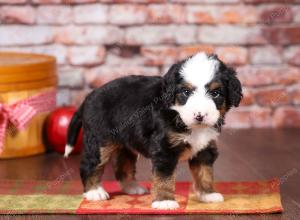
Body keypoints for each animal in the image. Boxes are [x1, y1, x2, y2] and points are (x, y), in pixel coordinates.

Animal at [64, 51, 243, 210]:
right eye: (186, 92)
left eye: (216, 93)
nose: (199, 115)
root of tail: (89, 97)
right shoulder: (164, 149)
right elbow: (164, 178)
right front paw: (165, 201)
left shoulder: (204, 148)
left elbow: (205, 172)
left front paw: (208, 194)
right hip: (100, 141)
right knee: (90, 164)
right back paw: (94, 192)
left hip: (126, 143)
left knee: (123, 166)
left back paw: (132, 187)